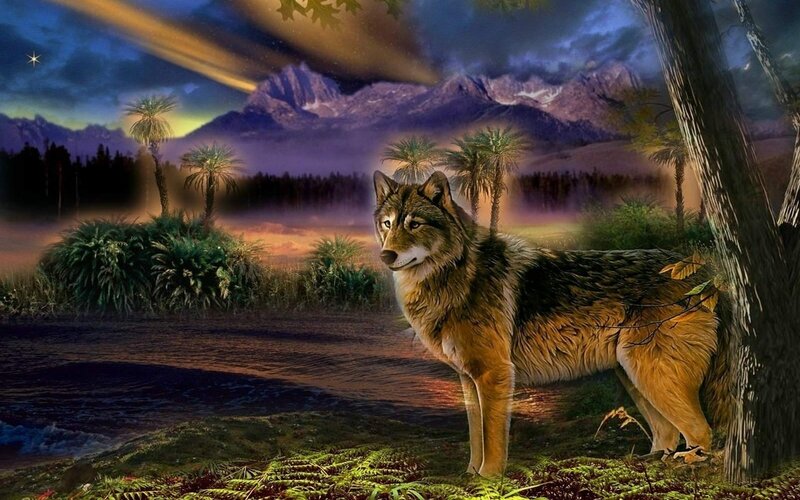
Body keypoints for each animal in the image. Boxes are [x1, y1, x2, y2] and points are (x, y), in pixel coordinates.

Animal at [373, 170, 732, 477]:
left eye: (415, 224)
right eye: (388, 224)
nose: (386, 256)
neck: (457, 272)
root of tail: (704, 275)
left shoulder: (494, 374)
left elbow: (492, 439)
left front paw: (489, 478)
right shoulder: (468, 378)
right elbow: (476, 437)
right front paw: (471, 474)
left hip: (652, 374)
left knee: (700, 430)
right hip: (635, 376)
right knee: (668, 431)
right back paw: (651, 461)